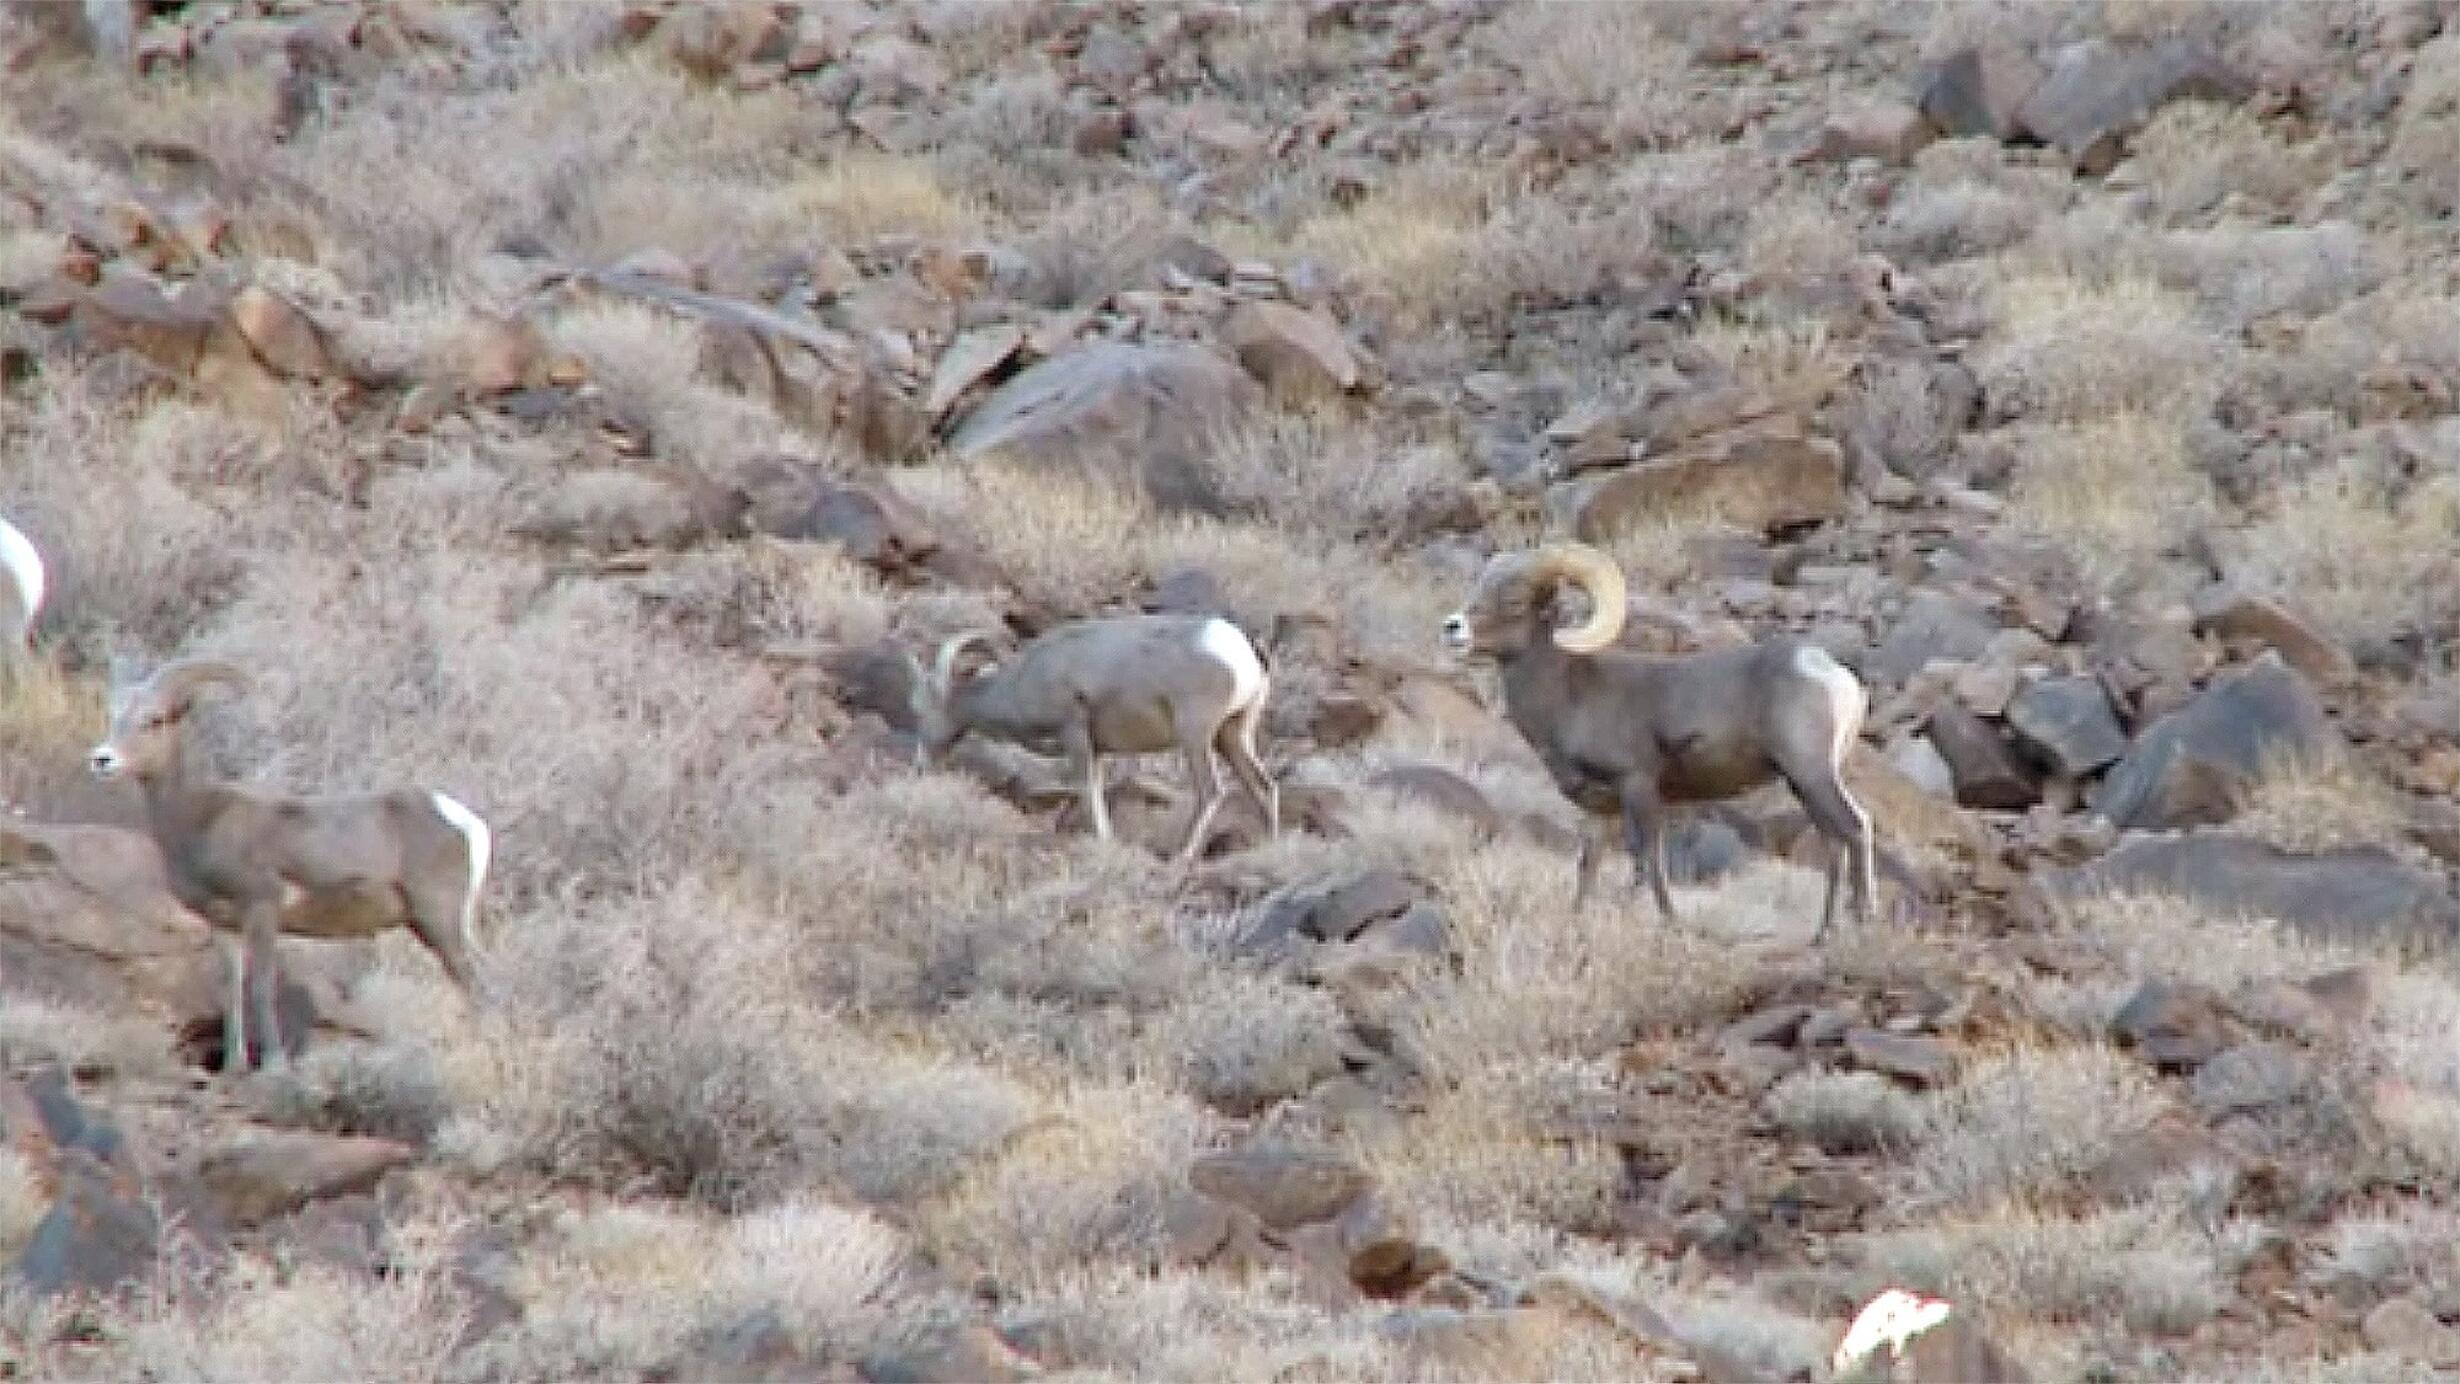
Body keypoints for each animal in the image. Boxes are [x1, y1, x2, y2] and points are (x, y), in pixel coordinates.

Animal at [91, 658, 494, 1071]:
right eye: (114, 717)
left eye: (154, 720)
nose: (102, 759)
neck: (201, 820)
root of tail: (465, 821)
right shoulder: (224, 925)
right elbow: (231, 990)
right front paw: (234, 1066)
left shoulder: (262, 907)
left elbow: (261, 984)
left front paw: (273, 1064)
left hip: (438, 920)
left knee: (476, 982)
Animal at [910, 612, 1289, 860]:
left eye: (919, 709)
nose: (920, 766)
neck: (1022, 682)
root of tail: (1241, 648)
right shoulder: (1097, 750)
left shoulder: (1074, 734)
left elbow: (1087, 789)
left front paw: (1103, 841)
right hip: (1233, 735)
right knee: (1264, 786)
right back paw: (1269, 847)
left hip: (1196, 737)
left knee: (1211, 791)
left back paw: (1181, 856)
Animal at [1436, 540, 1879, 943]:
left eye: (1513, 601)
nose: (1452, 627)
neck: (1569, 695)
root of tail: (1831, 671)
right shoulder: (1598, 811)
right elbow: (1588, 866)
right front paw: (1577, 925)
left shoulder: (1638, 787)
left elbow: (1649, 858)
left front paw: (1670, 925)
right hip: (1802, 784)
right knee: (1833, 842)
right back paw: (1822, 934)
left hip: (1811, 774)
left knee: (1854, 827)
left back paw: (1861, 925)